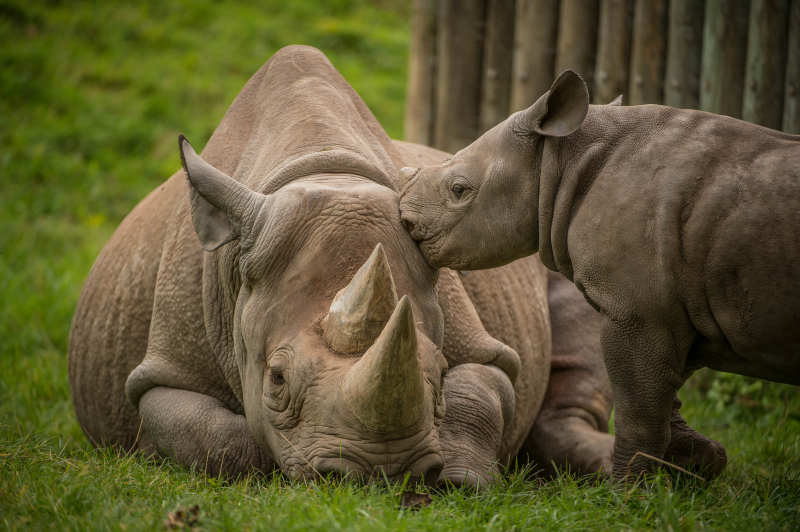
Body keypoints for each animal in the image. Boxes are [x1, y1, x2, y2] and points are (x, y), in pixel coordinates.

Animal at [69, 47, 619, 486]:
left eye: (439, 374)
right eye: (276, 379)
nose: (379, 472)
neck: (323, 166)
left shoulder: (476, 336)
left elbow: (481, 391)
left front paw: (462, 481)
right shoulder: (164, 374)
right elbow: (219, 439)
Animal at [396, 69, 800, 481]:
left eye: (459, 189)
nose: (405, 219)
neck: (561, 164)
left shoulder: (638, 311)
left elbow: (638, 410)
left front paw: (631, 488)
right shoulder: (670, 307)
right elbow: (662, 396)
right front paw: (695, 463)